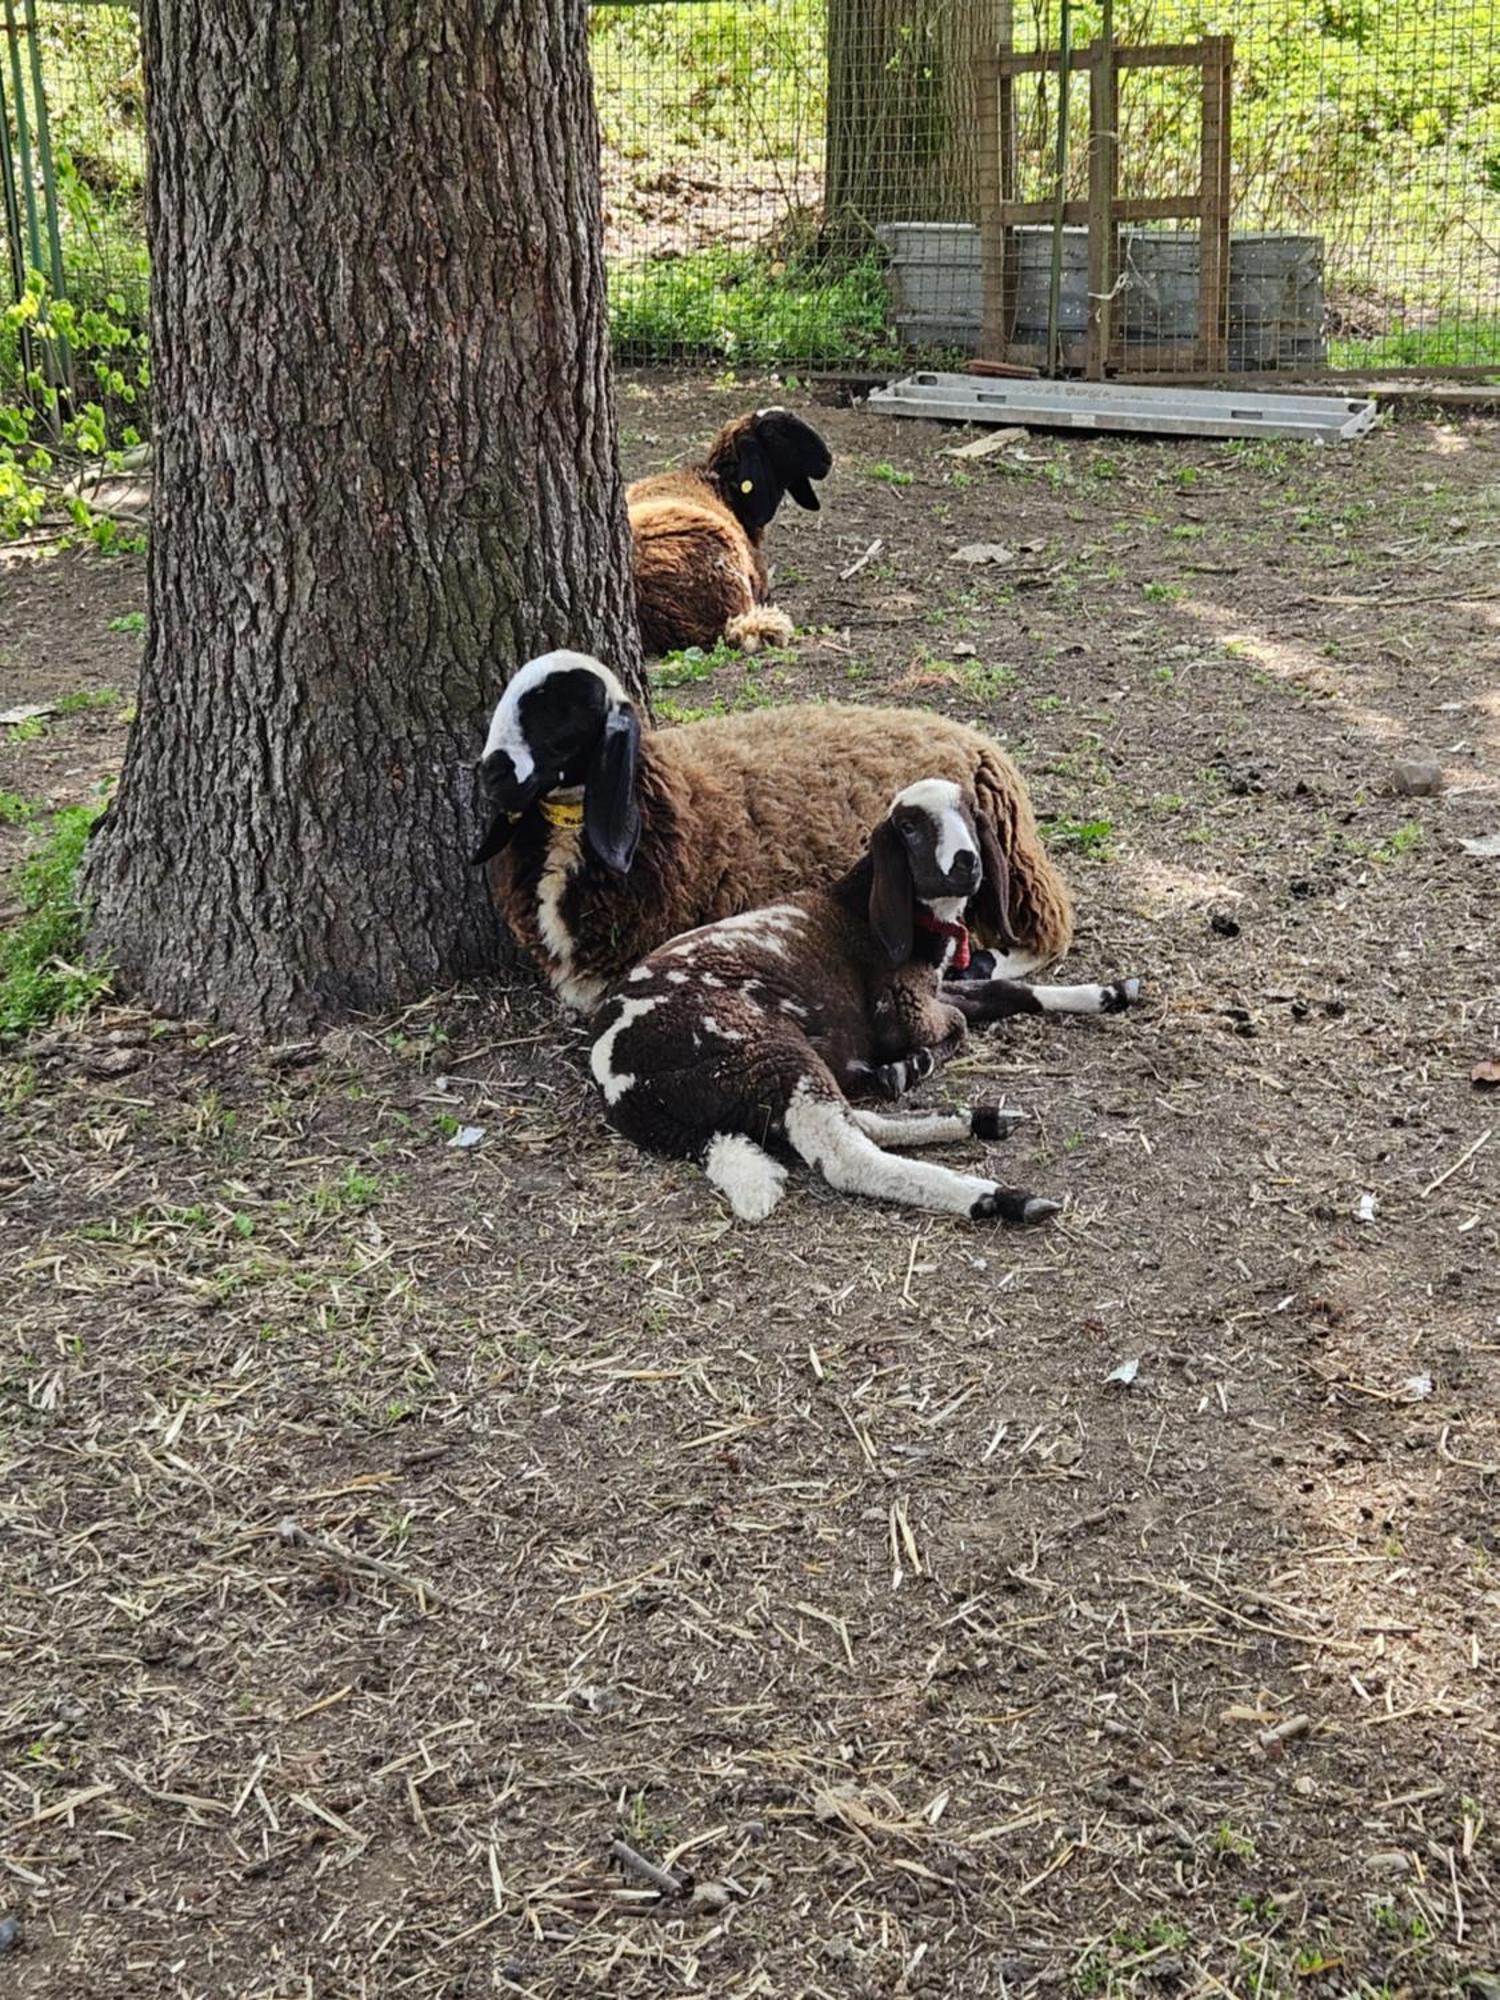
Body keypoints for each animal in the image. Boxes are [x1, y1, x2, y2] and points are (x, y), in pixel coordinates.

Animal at [592, 776, 1144, 1216]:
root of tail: (620, 1084)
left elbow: (1003, 990)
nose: (966, 863)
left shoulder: (931, 986)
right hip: (761, 1050)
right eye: (909, 828)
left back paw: (971, 1117)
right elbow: (959, 1025)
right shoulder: (901, 1005)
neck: (865, 906)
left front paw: (1109, 992)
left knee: (854, 1120)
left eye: (970, 811)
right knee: (844, 1153)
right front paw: (914, 1063)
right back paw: (998, 1197)